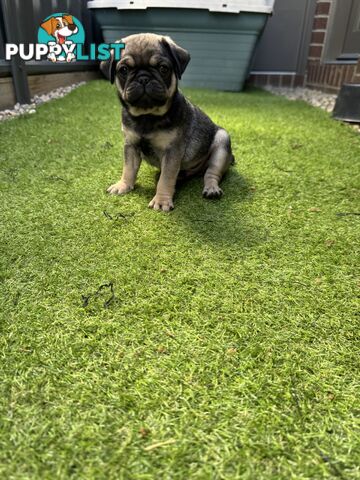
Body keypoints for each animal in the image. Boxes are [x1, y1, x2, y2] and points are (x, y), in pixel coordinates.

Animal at [100, 33, 233, 212]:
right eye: (123, 70)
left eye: (163, 68)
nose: (143, 78)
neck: (147, 115)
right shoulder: (131, 145)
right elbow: (128, 169)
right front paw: (123, 185)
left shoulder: (172, 151)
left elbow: (166, 178)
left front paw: (161, 200)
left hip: (221, 142)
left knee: (212, 172)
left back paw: (211, 188)